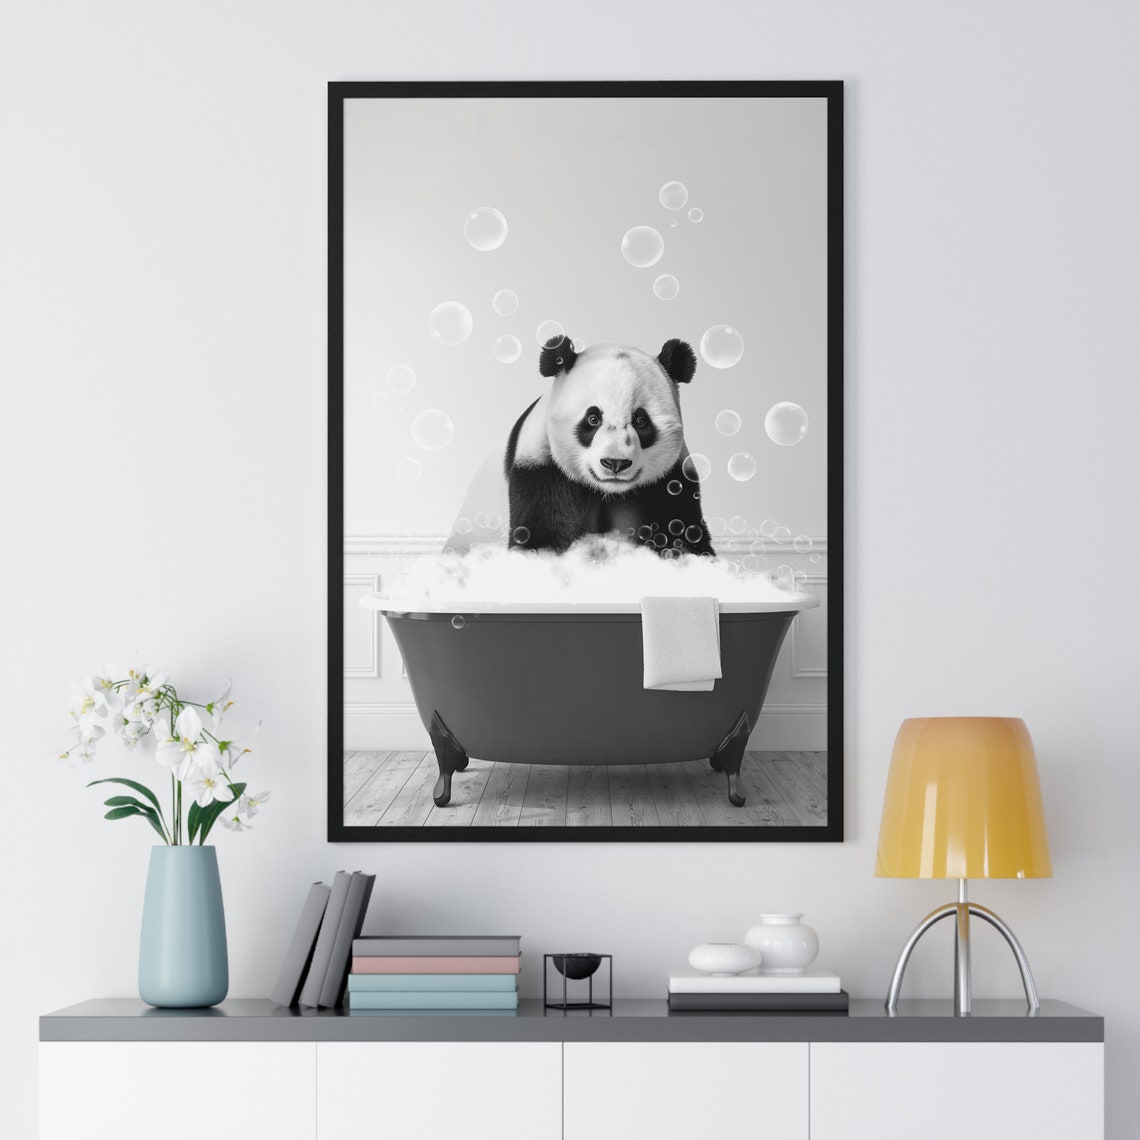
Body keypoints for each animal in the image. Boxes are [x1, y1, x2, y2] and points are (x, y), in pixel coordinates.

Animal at [504, 336, 714, 556]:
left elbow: (678, 529)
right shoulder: (540, 466)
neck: (608, 492)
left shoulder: (671, 481)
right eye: (593, 419)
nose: (615, 463)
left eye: (641, 421)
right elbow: (543, 531)